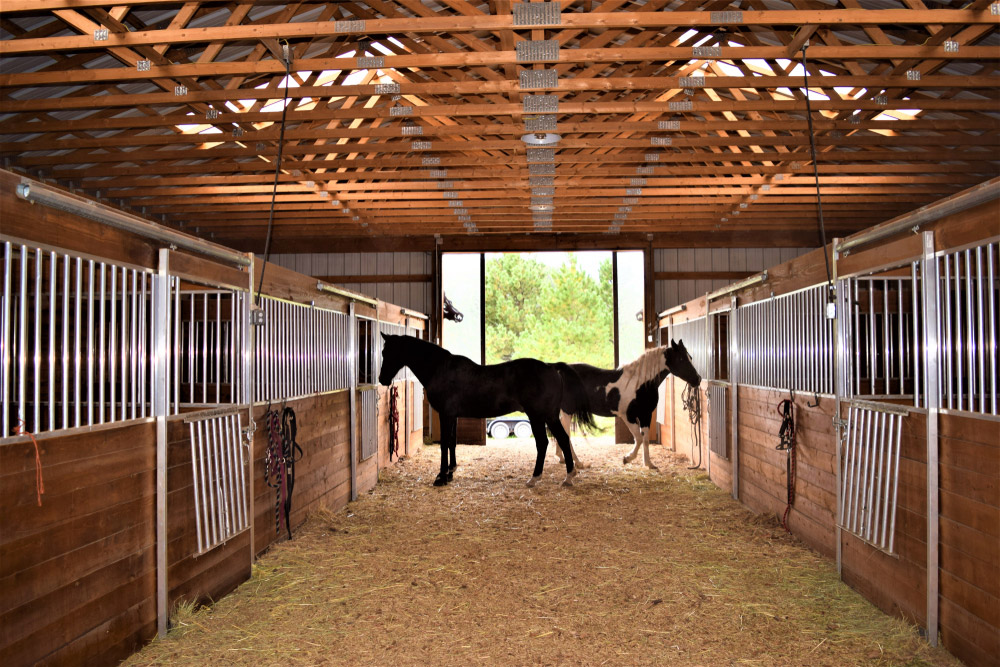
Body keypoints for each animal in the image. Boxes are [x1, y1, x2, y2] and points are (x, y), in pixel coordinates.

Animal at [376, 336, 592, 488]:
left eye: (388, 352)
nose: (382, 379)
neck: (440, 369)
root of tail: (551, 367)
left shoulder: (446, 415)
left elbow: (444, 444)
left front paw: (441, 477)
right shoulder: (453, 416)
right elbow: (452, 442)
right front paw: (451, 472)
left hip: (540, 416)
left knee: (547, 442)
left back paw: (539, 478)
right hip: (547, 416)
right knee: (559, 440)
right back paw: (565, 477)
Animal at [556, 342, 704, 472]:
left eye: (690, 357)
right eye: (681, 359)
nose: (698, 379)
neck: (640, 383)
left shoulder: (645, 415)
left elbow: (645, 439)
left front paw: (649, 464)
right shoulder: (628, 416)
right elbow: (638, 438)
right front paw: (627, 458)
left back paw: (561, 458)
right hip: (567, 411)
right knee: (566, 435)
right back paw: (578, 462)